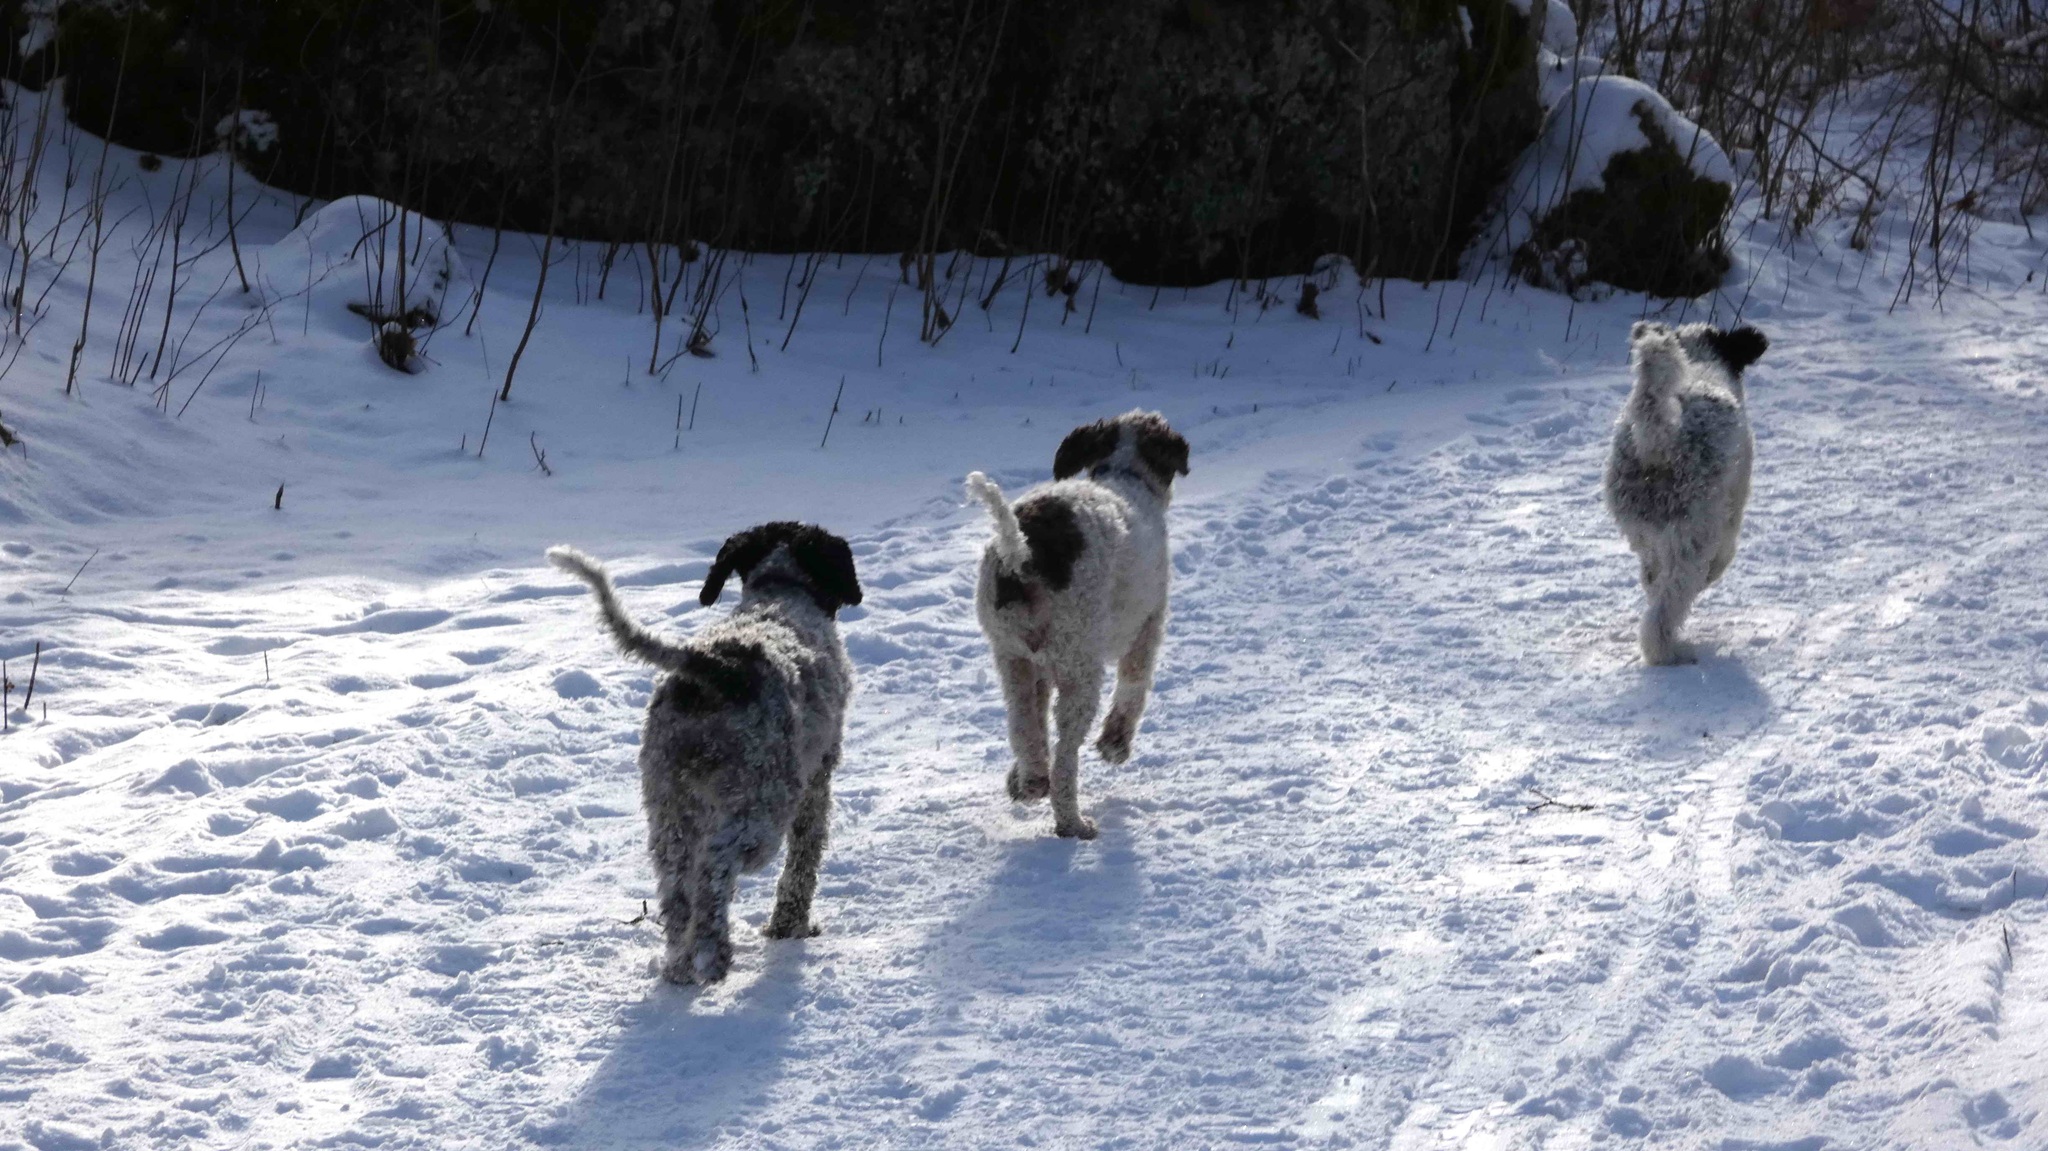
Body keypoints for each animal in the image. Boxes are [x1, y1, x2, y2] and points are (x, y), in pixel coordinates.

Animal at [547, 522, 862, 983]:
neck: (782, 590)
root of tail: (714, 667)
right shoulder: (817, 781)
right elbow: (803, 865)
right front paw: (790, 927)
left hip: (669, 807)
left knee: (678, 892)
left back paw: (681, 966)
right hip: (762, 807)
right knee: (714, 870)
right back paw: (714, 957)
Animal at [965, 410, 1189, 839]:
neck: (1126, 475)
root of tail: (1023, 552)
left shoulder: (1035, 666)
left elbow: (1032, 724)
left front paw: (1015, 781)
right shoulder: (1148, 626)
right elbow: (1134, 686)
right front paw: (1115, 745)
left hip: (1012, 655)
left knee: (1023, 726)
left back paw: (1031, 782)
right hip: (1079, 663)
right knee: (1065, 756)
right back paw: (1073, 822)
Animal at [1604, 321, 1769, 665]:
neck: (1700, 361)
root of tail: (1660, 438)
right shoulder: (1732, 506)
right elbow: (1724, 556)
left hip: (1642, 525)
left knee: (1655, 584)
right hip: (1693, 531)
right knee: (1668, 606)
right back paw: (1670, 652)